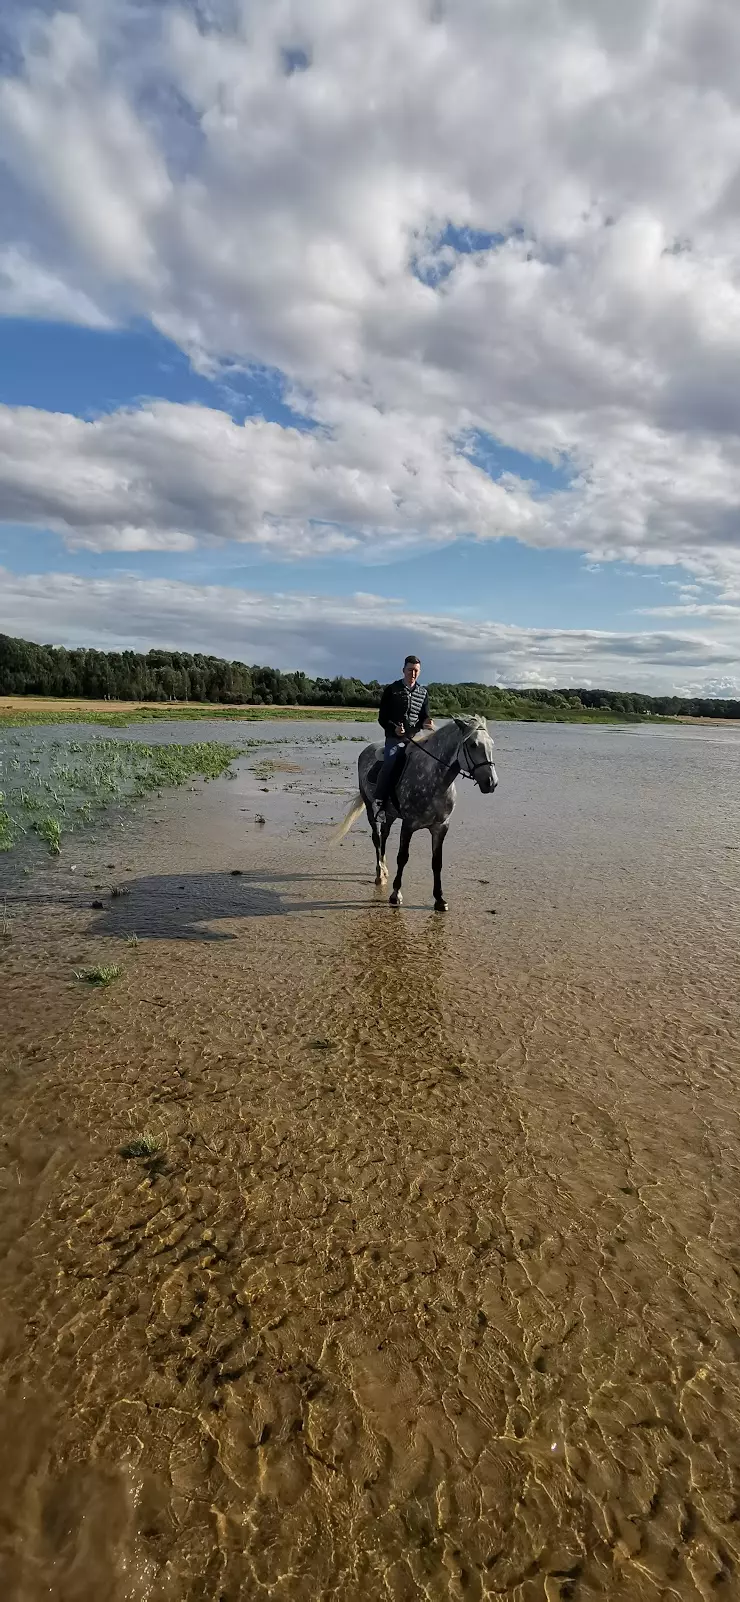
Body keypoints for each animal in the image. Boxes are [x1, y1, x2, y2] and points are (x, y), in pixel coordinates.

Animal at [333, 717, 496, 916]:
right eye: (473, 745)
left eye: (491, 744)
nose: (491, 782)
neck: (434, 780)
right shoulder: (409, 825)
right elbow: (403, 857)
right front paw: (396, 894)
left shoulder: (440, 827)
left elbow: (437, 862)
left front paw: (440, 899)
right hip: (371, 809)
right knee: (377, 838)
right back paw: (380, 874)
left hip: (390, 814)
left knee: (384, 836)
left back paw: (385, 869)